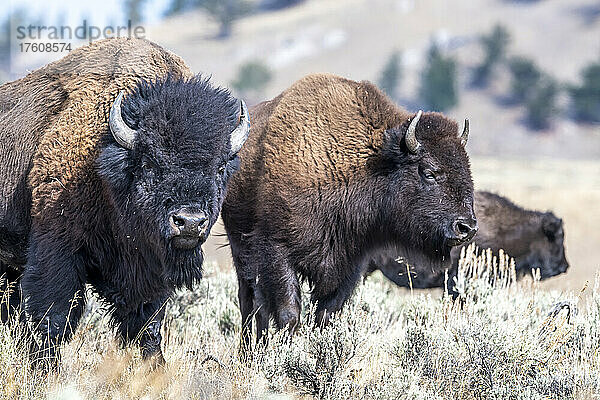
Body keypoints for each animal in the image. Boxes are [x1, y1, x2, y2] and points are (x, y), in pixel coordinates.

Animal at [0, 38, 248, 366]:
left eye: (220, 168)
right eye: (149, 164)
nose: (189, 222)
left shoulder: (149, 275)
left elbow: (148, 326)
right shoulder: (57, 250)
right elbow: (53, 317)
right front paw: (44, 369)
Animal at [220, 73, 478, 346]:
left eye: (466, 168)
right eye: (429, 172)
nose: (466, 227)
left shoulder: (350, 265)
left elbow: (325, 314)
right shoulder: (277, 251)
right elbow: (288, 313)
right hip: (240, 247)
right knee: (249, 301)